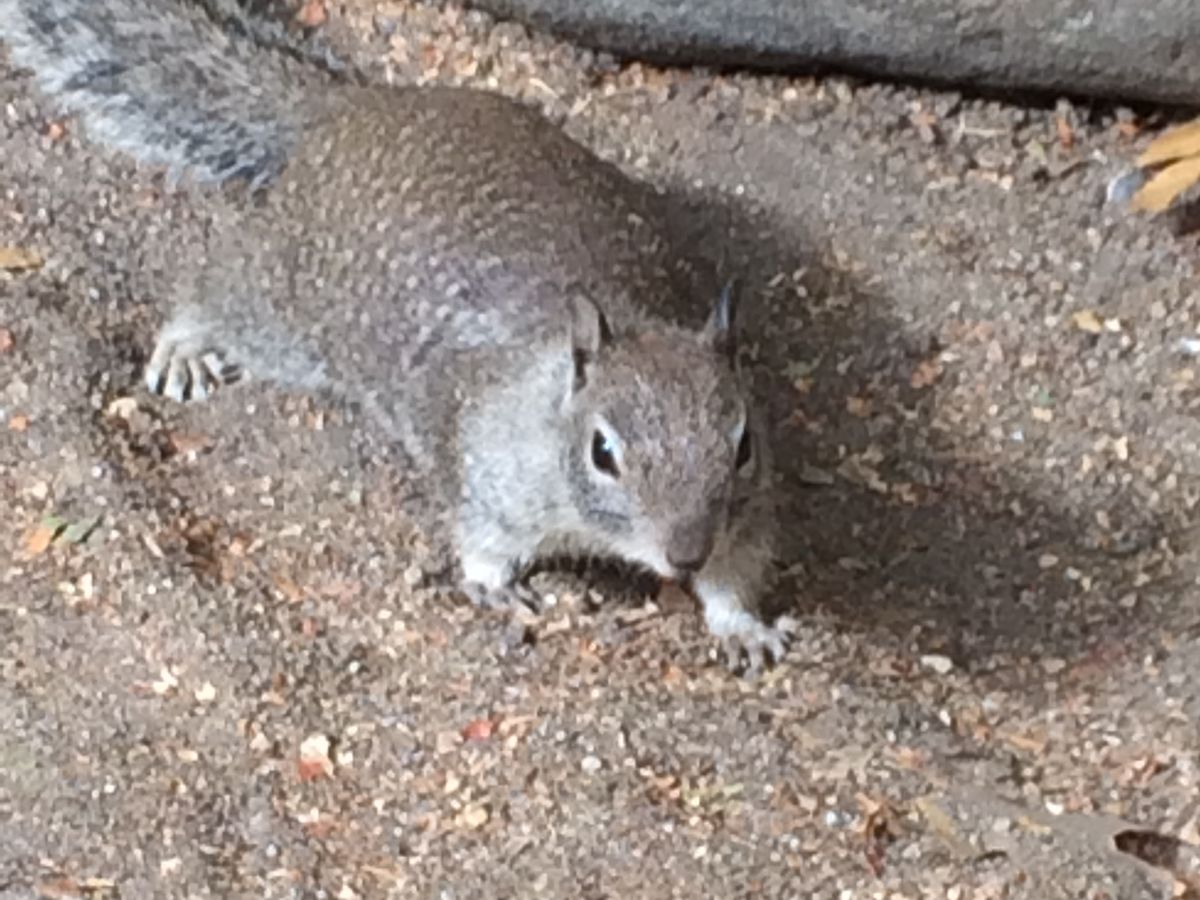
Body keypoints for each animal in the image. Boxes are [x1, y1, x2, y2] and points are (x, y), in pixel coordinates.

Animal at [0, 0, 797, 671]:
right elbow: (481, 539)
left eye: (743, 445)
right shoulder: (482, 463)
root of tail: (355, 107)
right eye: (603, 452)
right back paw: (186, 346)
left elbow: (739, 565)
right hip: (285, 307)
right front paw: (494, 586)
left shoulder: (748, 510)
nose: (684, 553)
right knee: (217, 293)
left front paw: (742, 625)